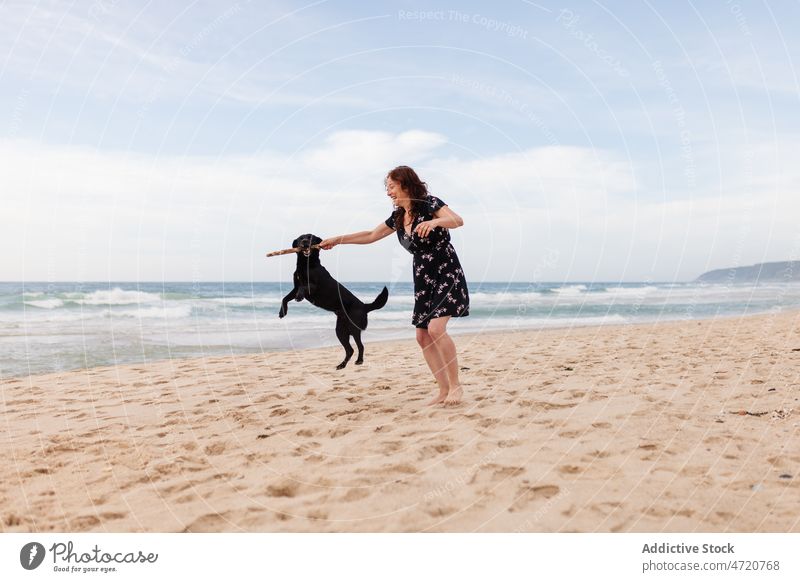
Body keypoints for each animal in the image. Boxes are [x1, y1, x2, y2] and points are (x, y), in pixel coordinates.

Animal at [280, 234, 390, 368]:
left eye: (310, 237)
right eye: (301, 238)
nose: (305, 242)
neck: (306, 264)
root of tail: (364, 306)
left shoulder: (313, 286)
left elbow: (303, 287)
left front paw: (299, 297)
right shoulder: (295, 287)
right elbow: (285, 298)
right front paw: (282, 312)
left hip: (354, 329)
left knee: (360, 346)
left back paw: (359, 361)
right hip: (340, 331)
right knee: (350, 350)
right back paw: (342, 365)